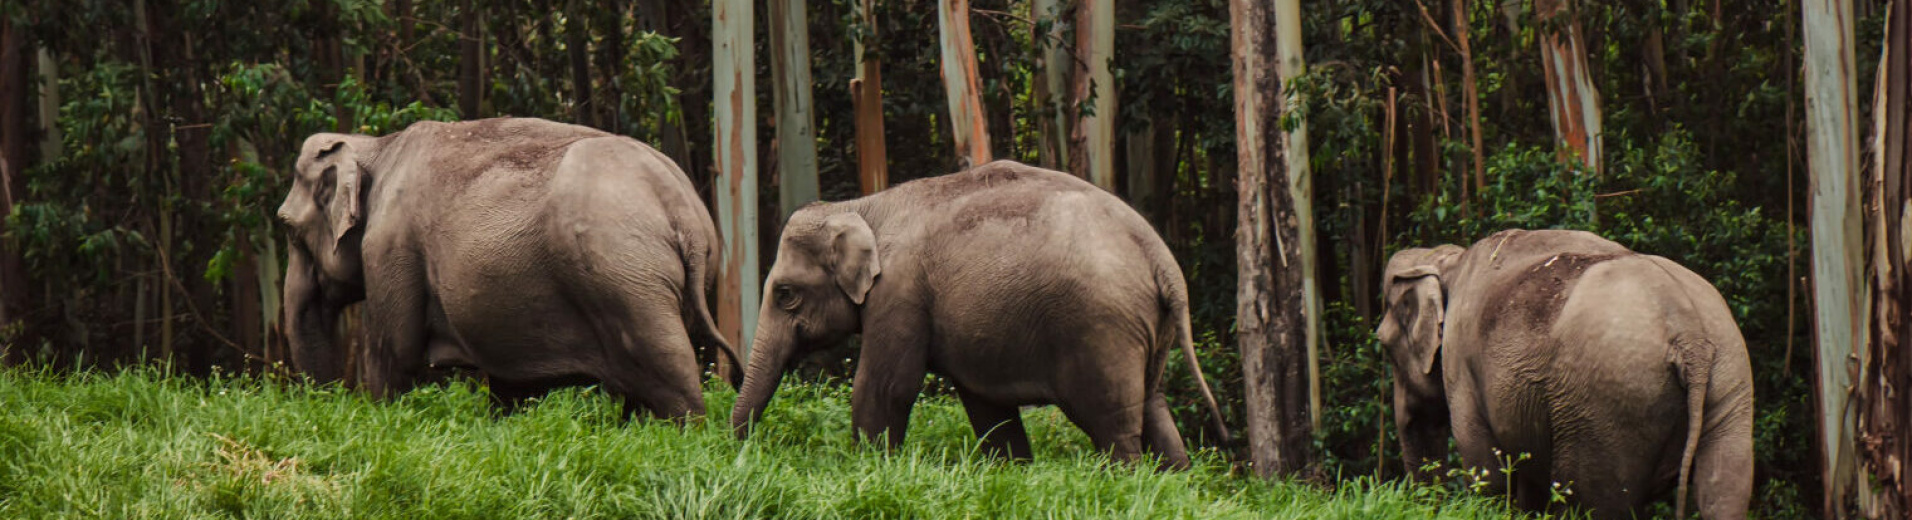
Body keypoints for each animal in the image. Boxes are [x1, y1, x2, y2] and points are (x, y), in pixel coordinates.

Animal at [277, 116, 738, 418]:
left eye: (288, 230)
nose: (327, 405)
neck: (378, 146)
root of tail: (682, 210)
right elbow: (509, 385)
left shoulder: (390, 248)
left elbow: (393, 358)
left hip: (627, 280)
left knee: (670, 375)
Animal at [722, 160, 1231, 468]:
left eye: (785, 294)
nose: (739, 449)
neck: (862, 206)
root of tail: (1161, 258)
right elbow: (987, 405)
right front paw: (1013, 471)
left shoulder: (899, 293)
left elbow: (887, 387)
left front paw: (867, 466)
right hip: (1148, 328)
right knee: (1154, 406)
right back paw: (1174, 481)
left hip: (1102, 330)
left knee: (1113, 422)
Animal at [1376, 230, 1751, 520]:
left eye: (1383, 346)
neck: (1448, 260)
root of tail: (1690, 336)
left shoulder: (1462, 367)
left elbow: (1487, 474)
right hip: (1729, 380)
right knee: (1723, 491)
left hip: (1606, 404)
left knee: (1593, 500)